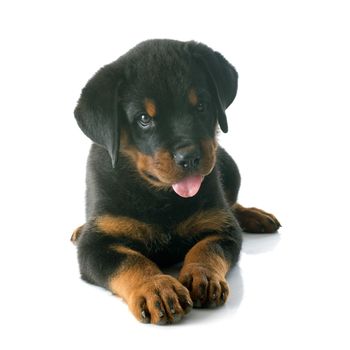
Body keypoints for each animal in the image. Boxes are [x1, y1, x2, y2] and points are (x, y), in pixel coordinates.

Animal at [72, 39, 282, 326]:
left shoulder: (221, 226)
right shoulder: (95, 247)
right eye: (144, 119)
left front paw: (202, 275)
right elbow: (131, 261)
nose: (189, 157)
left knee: (233, 204)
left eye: (201, 105)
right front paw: (157, 288)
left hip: (230, 168)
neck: (161, 197)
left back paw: (255, 215)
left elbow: (207, 248)